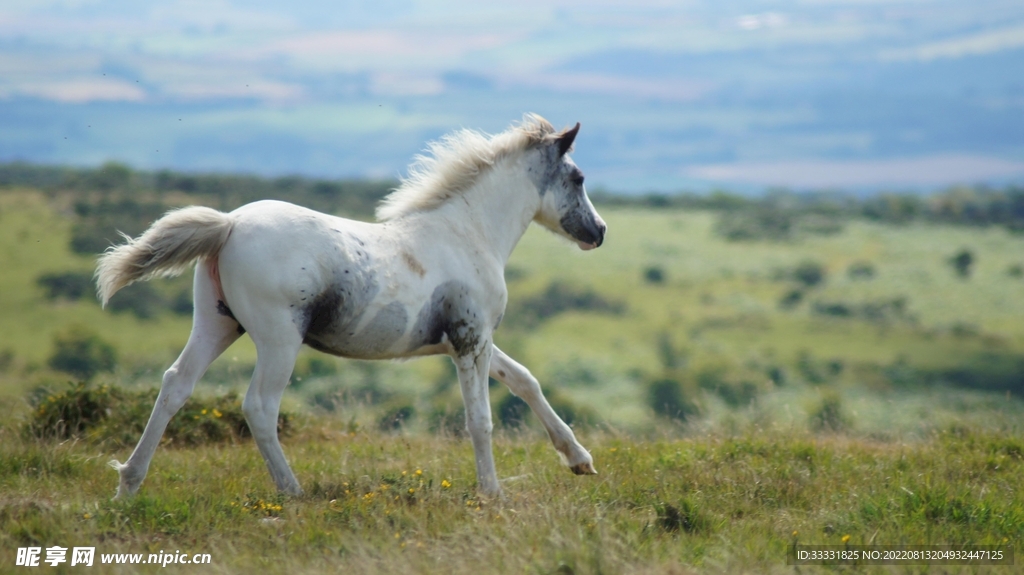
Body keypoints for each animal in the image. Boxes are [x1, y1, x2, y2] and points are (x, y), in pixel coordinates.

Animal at [96, 114, 607, 499]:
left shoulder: (469, 341)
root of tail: (229, 224)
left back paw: (128, 484)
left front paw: (580, 460)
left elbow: (524, 380)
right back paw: (292, 491)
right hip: (279, 339)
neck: (468, 234)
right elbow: (480, 419)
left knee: (175, 385)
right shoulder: (470, 340)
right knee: (259, 406)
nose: (599, 232)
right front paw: (492, 493)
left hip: (216, 324)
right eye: (577, 178)